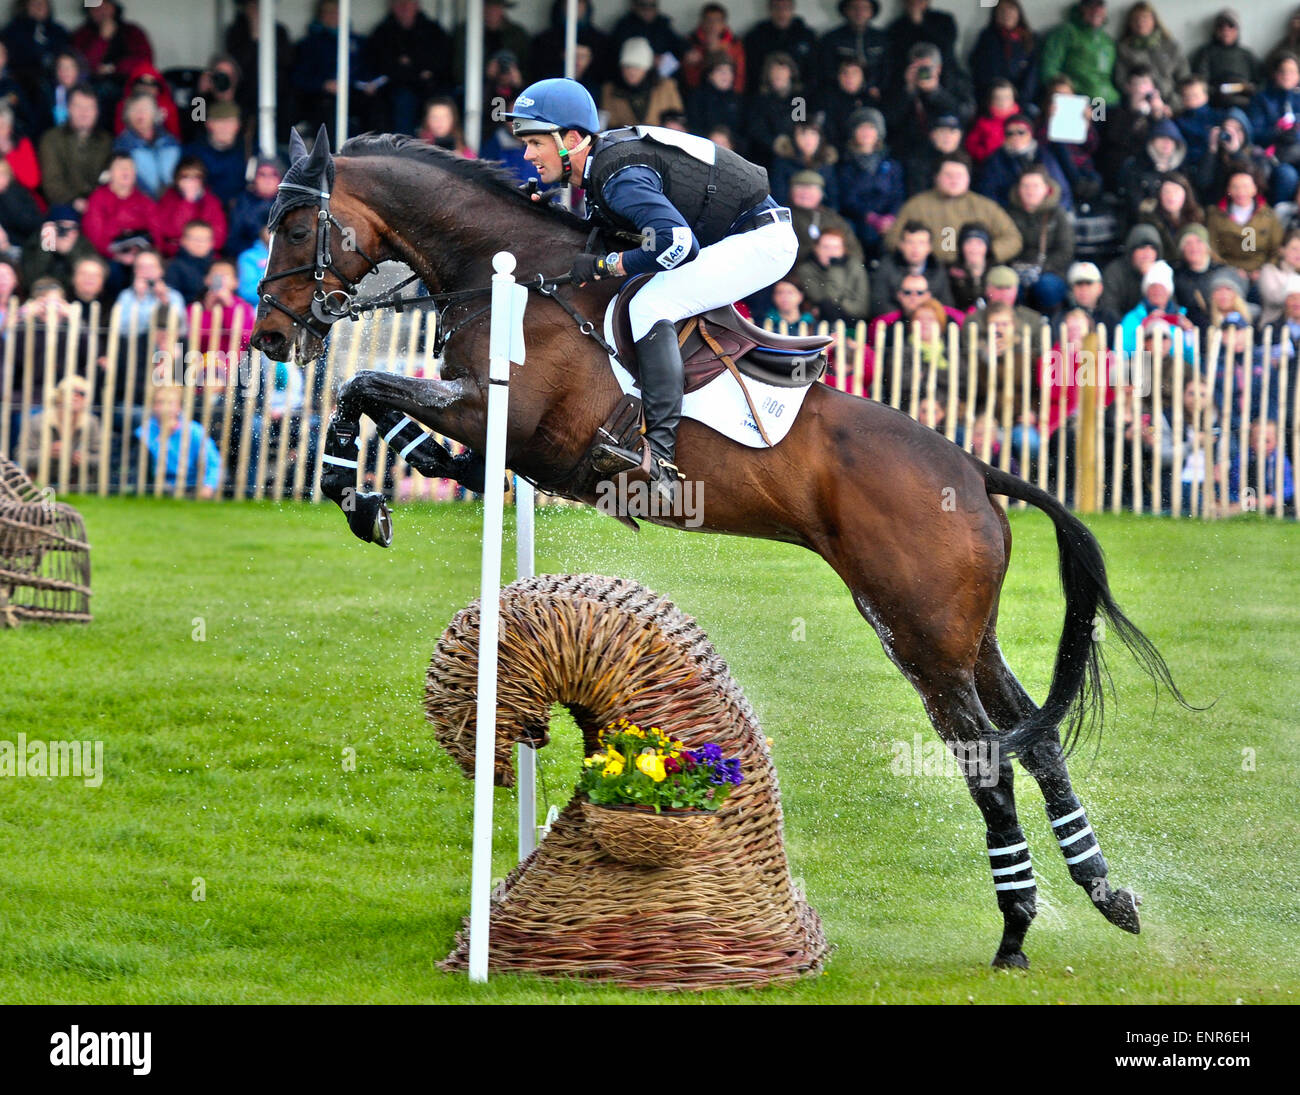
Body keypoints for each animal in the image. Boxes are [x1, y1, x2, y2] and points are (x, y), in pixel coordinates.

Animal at [248, 130, 1190, 972]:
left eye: (294, 226)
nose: (270, 338)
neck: (508, 276)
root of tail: (975, 470)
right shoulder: (495, 444)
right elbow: (390, 409)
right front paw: (370, 490)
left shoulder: (502, 416)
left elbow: (363, 385)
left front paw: (348, 486)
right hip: (956, 635)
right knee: (1036, 737)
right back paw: (1105, 892)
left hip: (925, 639)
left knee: (987, 760)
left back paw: (1017, 929)